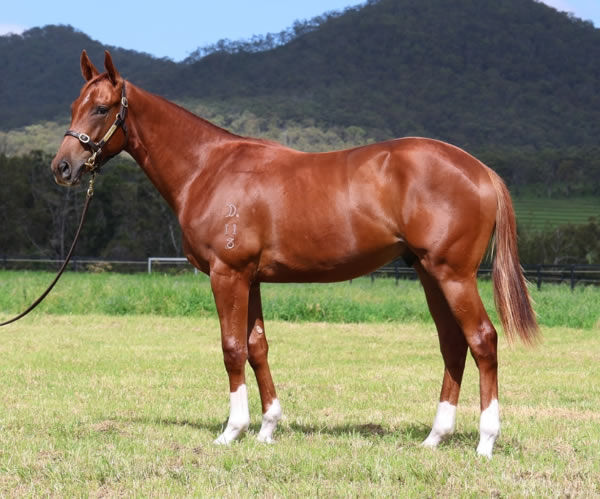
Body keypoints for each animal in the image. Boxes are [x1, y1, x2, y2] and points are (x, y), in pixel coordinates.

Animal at [52, 50, 540, 458]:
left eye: (101, 108)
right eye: (73, 105)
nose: (62, 167)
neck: (208, 168)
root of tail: (481, 170)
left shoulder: (227, 274)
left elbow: (232, 348)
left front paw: (232, 430)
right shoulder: (250, 278)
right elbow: (257, 346)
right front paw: (267, 427)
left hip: (453, 274)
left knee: (483, 340)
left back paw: (485, 442)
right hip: (428, 273)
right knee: (453, 344)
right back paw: (435, 437)